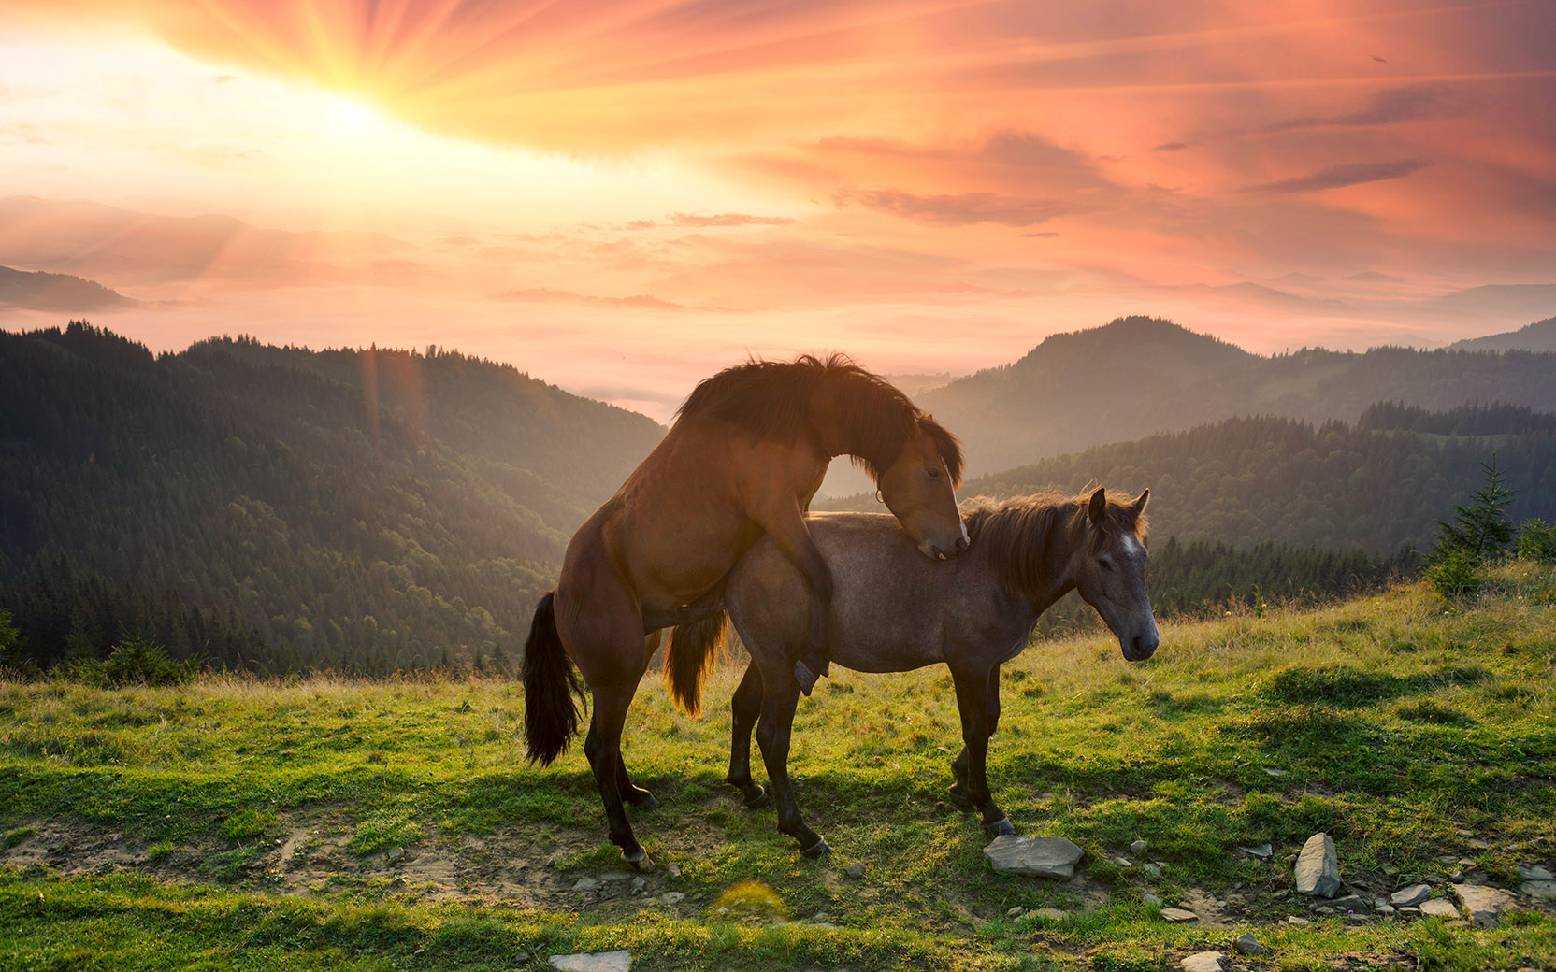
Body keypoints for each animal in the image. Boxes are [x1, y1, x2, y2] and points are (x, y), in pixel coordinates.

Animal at [522, 355, 968, 867]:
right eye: (932, 472)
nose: (959, 543)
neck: (796, 419)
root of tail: (559, 594)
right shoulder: (778, 510)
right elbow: (820, 576)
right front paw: (814, 654)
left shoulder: (793, 512)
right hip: (617, 673)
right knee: (598, 746)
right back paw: (630, 843)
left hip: (627, 667)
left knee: (609, 742)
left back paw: (634, 795)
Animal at [670, 488, 1158, 856]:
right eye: (1104, 562)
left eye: (1142, 558)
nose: (1145, 642)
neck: (994, 568)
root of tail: (741, 558)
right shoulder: (968, 663)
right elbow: (976, 727)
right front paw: (986, 806)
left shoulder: (990, 662)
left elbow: (990, 720)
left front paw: (960, 782)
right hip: (778, 663)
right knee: (772, 737)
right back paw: (803, 833)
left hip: (768, 660)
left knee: (742, 707)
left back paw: (747, 786)